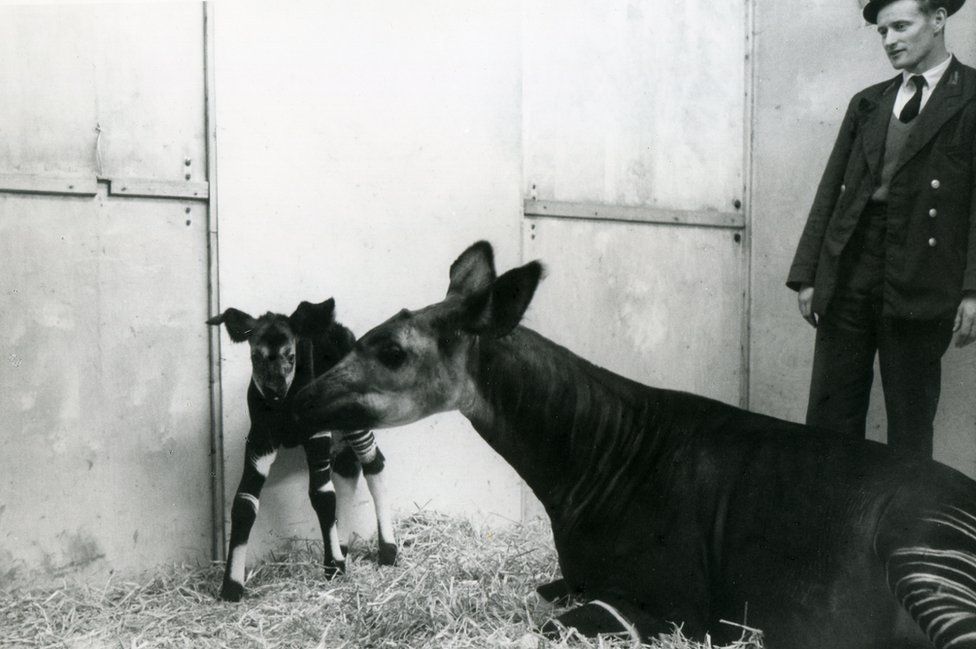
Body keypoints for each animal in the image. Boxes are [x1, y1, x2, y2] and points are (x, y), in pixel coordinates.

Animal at [209, 298, 396, 604]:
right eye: (255, 357)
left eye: (291, 356)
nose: (273, 391)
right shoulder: (260, 441)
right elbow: (244, 503)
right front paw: (231, 586)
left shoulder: (315, 435)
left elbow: (322, 495)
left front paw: (333, 568)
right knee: (348, 466)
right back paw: (343, 546)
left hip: (353, 418)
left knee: (373, 463)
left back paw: (388, 552)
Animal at [294, 243, 976, 648]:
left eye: (391, 350)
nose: (298, 400)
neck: (600, 460)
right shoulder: (578, 581)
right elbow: (540, 597)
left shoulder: (676, 611)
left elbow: (549, 625)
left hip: (922, 553)